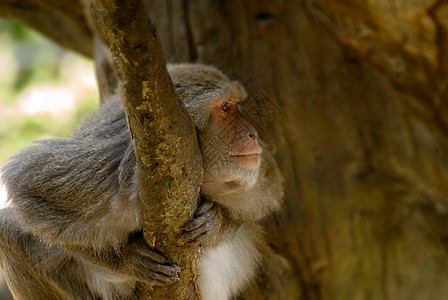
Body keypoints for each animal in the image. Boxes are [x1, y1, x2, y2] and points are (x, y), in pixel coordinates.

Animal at [0, 63, 280, 300]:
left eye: (235, 105)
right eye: (225, 108)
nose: (252, 134)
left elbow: (267, 187)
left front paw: (218, 220)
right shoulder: (118, 169)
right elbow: (28, 186)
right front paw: (127, 259)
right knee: (9, 228)